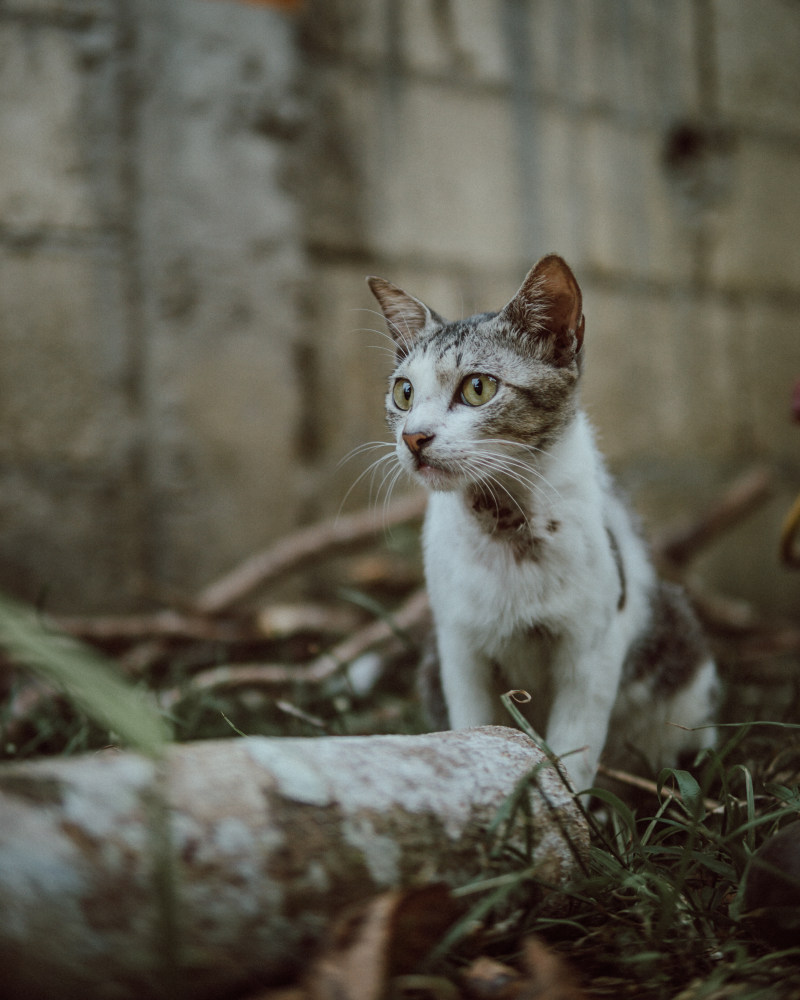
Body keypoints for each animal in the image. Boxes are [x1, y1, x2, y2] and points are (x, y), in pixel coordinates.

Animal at [368, 254, 720, 792]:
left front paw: (570, 806)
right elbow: (473, 725)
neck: (505, 523)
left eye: (478, 387)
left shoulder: (593, 648)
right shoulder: (457, 646)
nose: (413, 437)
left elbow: (575, 748)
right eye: (403, 393)